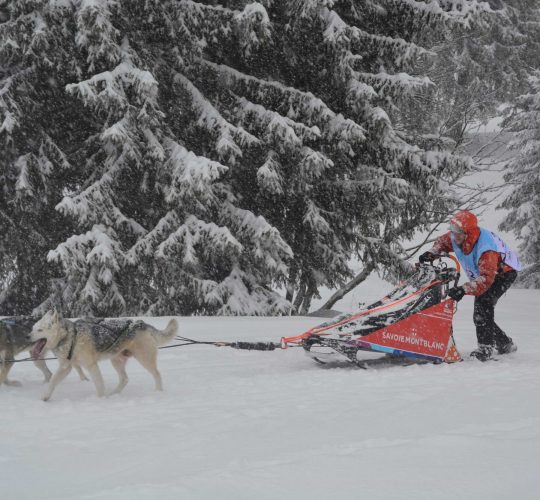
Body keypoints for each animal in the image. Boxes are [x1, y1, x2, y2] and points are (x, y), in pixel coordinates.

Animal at [30, 310, 177, 400]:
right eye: (32, 329)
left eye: (40, 330)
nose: (27, 336)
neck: (72, 337)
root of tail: (143, 323)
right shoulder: (66, 367)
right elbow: (52, 382)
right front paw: (45, 397)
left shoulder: (91, 366)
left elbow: (99, 385)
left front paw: (101, 400)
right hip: (116, 361)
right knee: (125, 379)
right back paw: (114, 394)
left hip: (144, 358)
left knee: (157, 374)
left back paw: (158, 392)